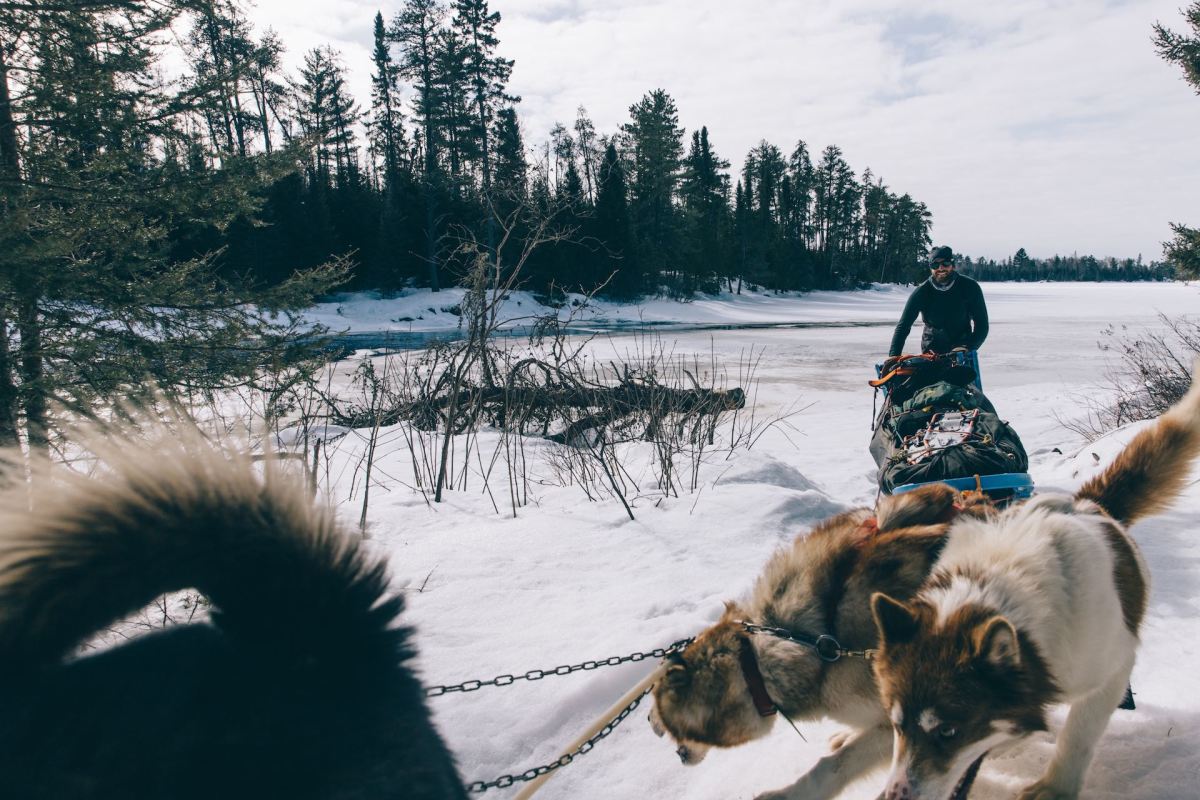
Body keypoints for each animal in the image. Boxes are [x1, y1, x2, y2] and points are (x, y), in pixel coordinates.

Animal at [873, 362, 1200, 800]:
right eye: (897, 725)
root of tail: (1086, 503)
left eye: (949, 731)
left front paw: (1055, 787)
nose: (893, 796)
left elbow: (1079, 735)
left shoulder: (1110, 669)